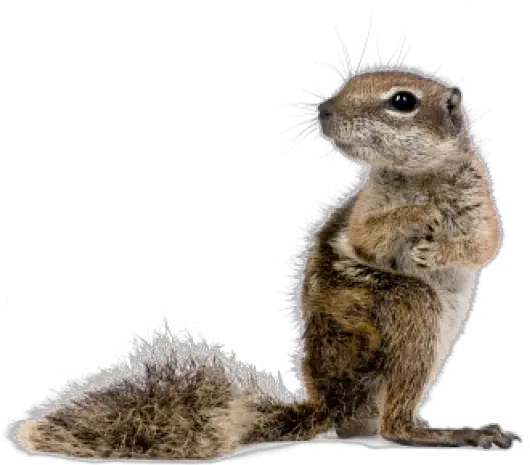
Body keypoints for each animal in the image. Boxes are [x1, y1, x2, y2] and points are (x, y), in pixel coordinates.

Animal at [9, 67, 520, 458]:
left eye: (402, 101)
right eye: (349, 82)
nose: (325, 109)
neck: (420, 178)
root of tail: (331, 403)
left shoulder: (480, 199)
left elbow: (485, 244)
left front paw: (436, 246)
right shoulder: (367, 211)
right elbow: (371, 237)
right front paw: (416, 220)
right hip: (410, 306)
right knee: (393, 426)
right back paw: (457, 433)